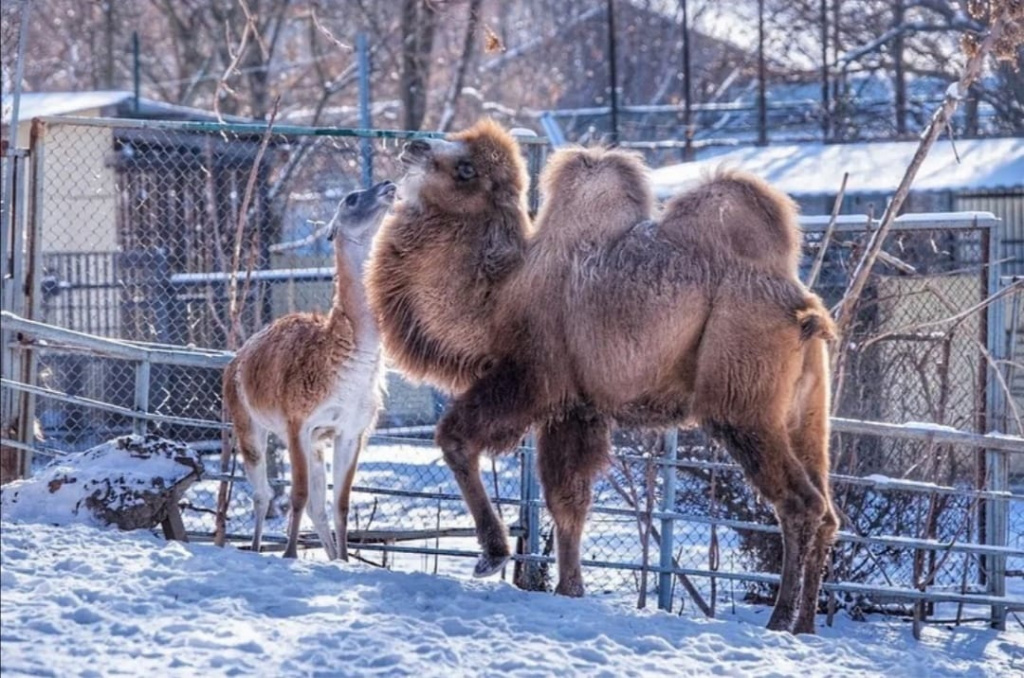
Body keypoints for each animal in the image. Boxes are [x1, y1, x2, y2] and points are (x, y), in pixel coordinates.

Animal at [224, 180, 395, 561]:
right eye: (351, 199)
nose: (388, 185)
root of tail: (237, 357)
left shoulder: (350, 430)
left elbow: (340, 503)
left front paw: (345, 559)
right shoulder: (297, 423)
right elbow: (298, 494)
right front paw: (289, 555)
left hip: (317, 442)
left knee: (317, 505)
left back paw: (331, 555)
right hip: (248, 423)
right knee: (262, 494)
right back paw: (256, 548)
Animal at [364, 122, 835, 639]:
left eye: (466, 169)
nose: (414, 145)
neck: (500, 295)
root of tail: (804, 310)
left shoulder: (532, 379)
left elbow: (456, 438)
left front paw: (494, 555)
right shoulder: (577, 407)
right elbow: (568, 500)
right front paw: (570, 590)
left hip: (741, 402)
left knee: (799, 502)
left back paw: (779, 619)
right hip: (806, 412)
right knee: (828, 511)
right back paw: (806, 624)